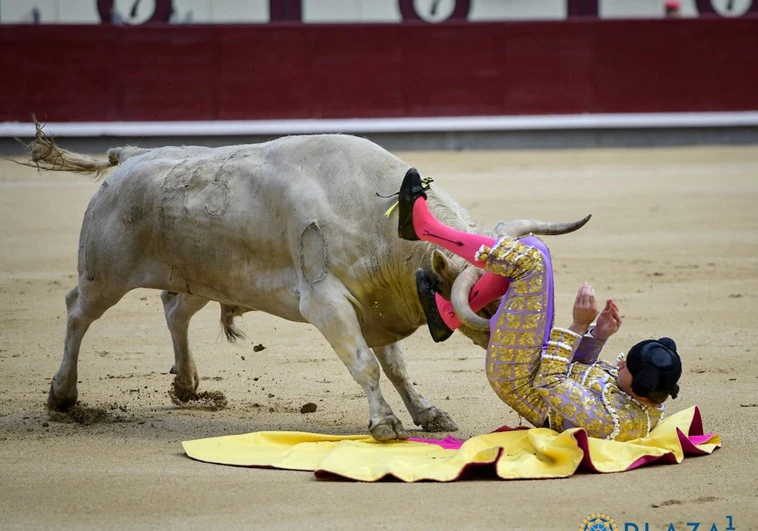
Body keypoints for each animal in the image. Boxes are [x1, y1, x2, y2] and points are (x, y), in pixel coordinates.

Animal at [26, 129, 592, 440]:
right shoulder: (327, 303)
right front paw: (385, 424)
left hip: (202, 275)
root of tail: (130, 158)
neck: (385, 219)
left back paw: (186, 385)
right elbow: (366, 365)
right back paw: (63, 395)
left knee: (174, 309)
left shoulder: (377, 305)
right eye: (488, 300)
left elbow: (398, 367)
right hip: (105, 272)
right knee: (78, 311)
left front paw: (428, 413)